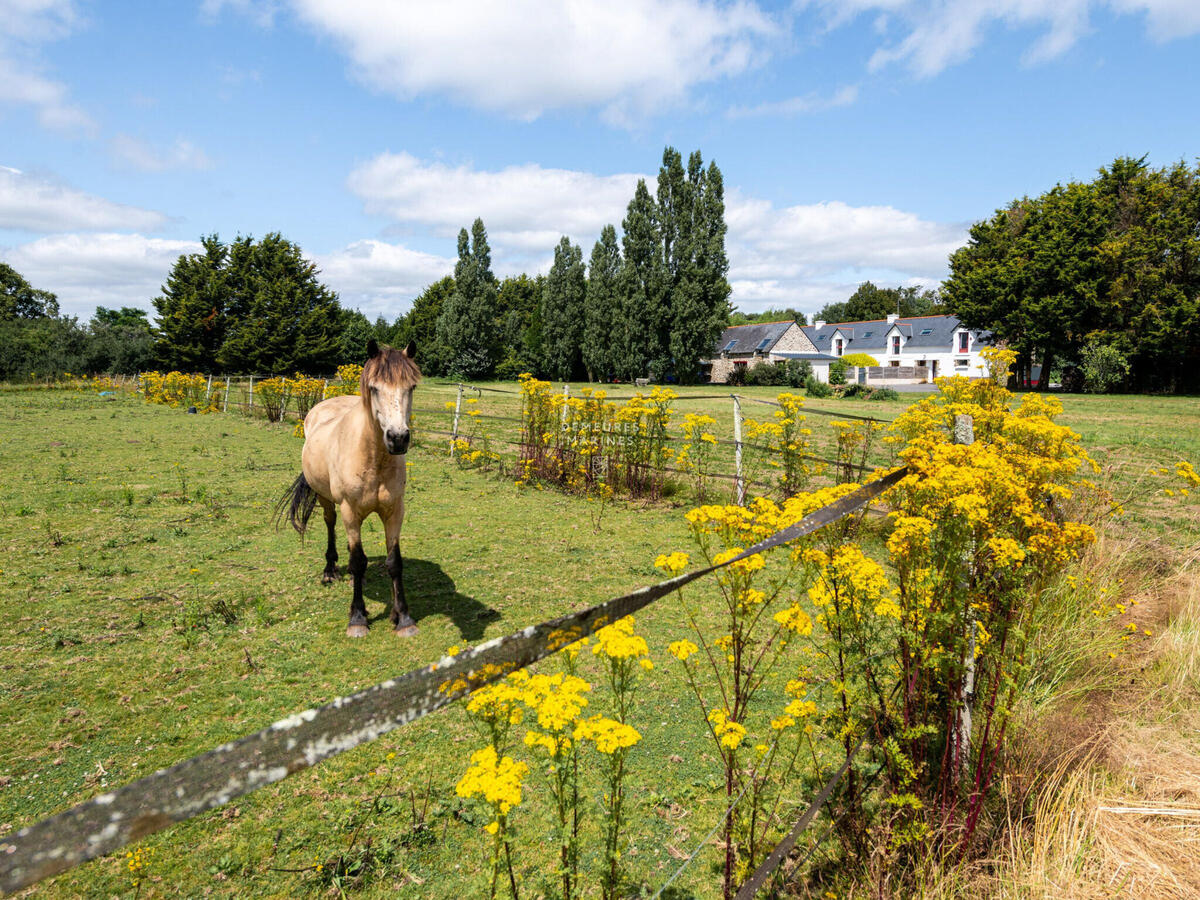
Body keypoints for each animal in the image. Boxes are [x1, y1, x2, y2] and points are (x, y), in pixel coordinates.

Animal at [276, 340, 422, 643]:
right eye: (375, 388)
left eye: (411, 387)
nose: (398, 438)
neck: (372, 457)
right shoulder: (349, 510)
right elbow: (356, 561)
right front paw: (357, 618)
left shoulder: (395, 511)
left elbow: (394, 562)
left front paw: (402, 618)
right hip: (328, 501)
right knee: (330, 525)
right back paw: (330, 570)